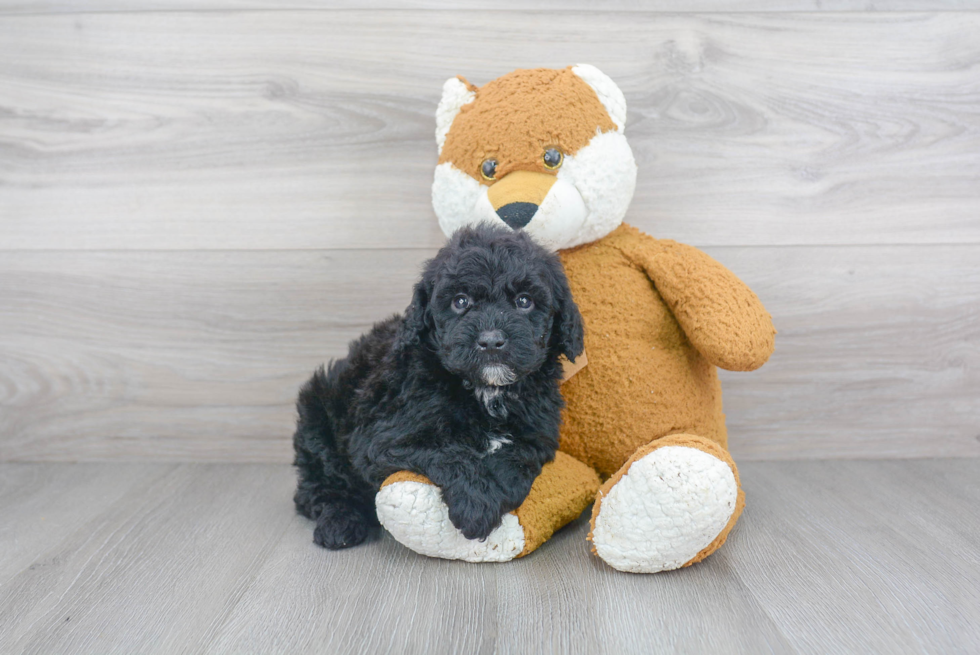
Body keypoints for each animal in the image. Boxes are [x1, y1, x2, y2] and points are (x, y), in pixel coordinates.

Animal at [290, 223, 580, 552]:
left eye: (524, 301)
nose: (491, 340)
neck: (485, 391)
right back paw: (340, 521)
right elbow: (447, 451)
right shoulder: (382, 437)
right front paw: (476, 505)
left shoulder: (539, 433)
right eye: (460, 301)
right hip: (317, 414)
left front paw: (496, 493)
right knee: (318, 487)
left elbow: (519, 456)